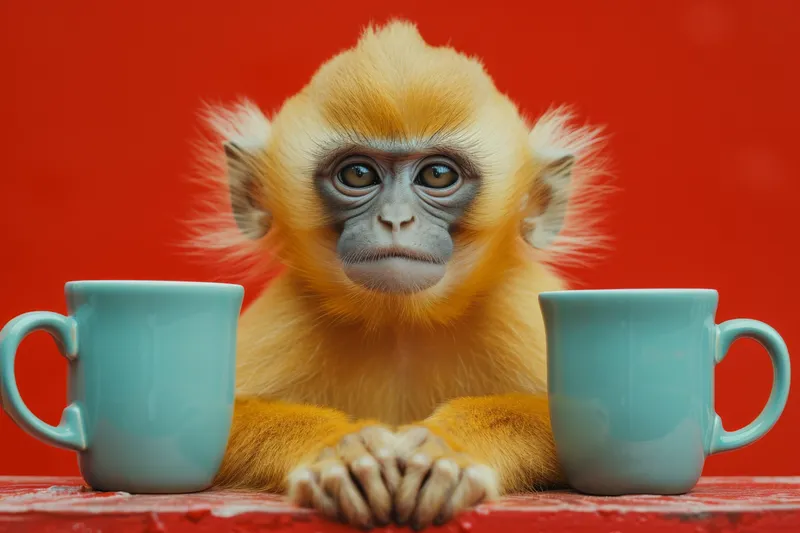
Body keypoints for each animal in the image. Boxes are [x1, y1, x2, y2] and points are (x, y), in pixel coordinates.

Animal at [191, 19, 607, 531]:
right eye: (357, 173)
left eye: (437, 175)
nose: (395, 219)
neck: (400, 325)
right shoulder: (287, 318)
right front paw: (342, 452)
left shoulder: (517, 307)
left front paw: (446, 450)